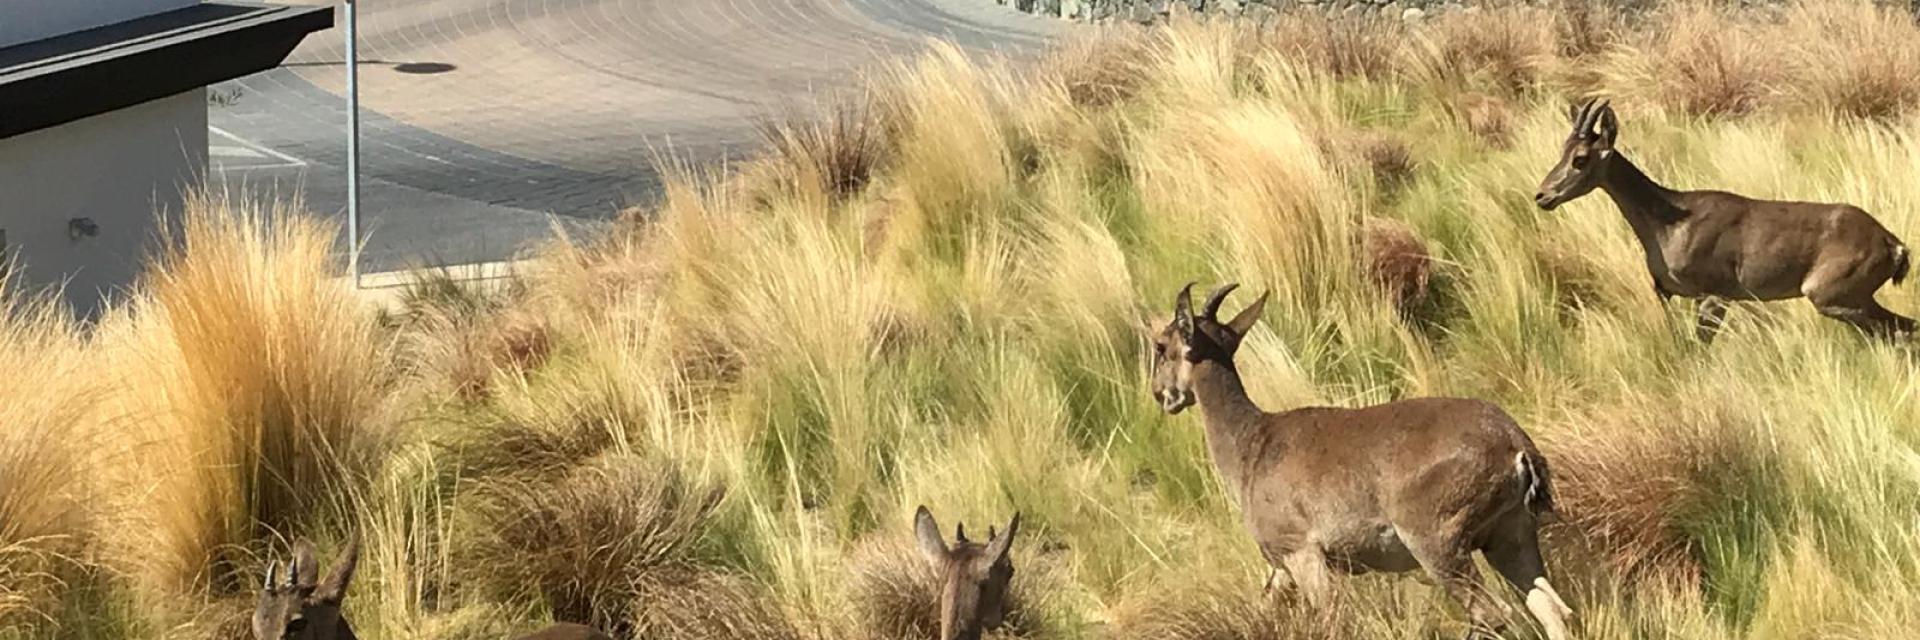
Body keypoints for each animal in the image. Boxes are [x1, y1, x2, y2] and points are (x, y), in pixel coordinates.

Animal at [1136, 284, 1574, 638]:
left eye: (1161, 347)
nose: (1161, 394)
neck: (1252, 445)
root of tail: (1515, 445)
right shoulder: (1282, 568)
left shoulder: (1303, 554)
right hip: (1510, 536)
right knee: (1549, 608)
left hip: (1437, 542)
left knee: (1493, 615)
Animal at [1528, 96, 1904, 338]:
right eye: (1562, 150)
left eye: (1580, 158)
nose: (1543, 196)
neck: (1670, 222)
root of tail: (1893, 244)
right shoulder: (1669, 295)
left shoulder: (1714, 298)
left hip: (1834, 298)